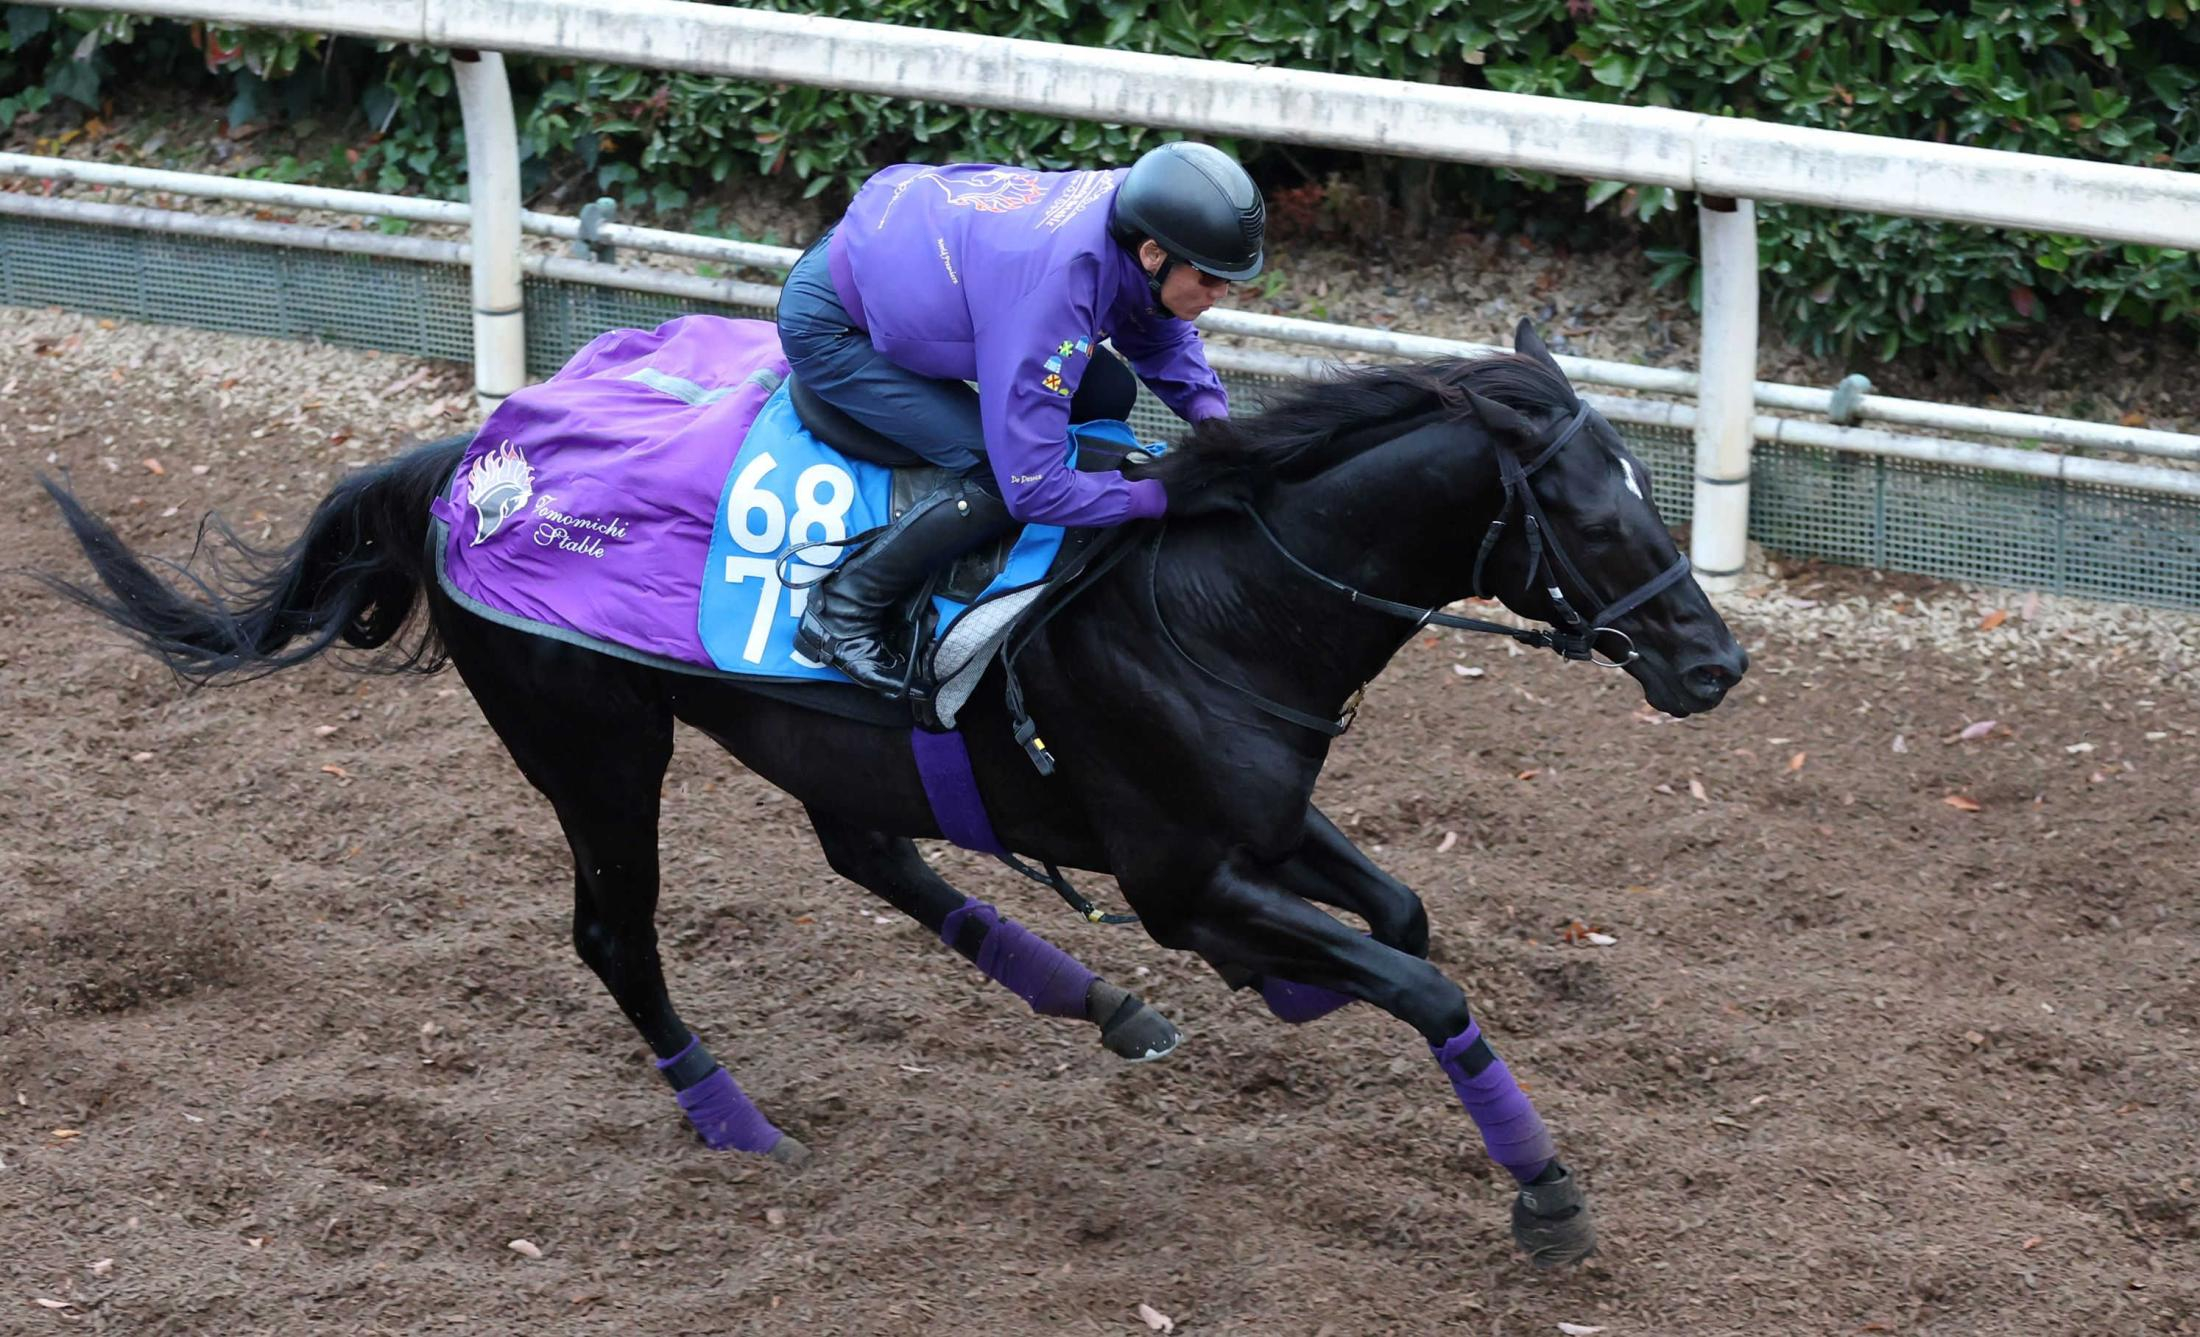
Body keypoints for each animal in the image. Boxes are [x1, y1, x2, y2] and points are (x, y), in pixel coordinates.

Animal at [38, 319, 1746, 1267]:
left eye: (1655, 499)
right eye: (1601, 514)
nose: (1718, 661)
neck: (1216, 597)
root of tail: (475, 456)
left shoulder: (1254, 828)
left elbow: (1400, 908)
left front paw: (1288, 988)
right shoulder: (1182, 877)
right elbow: (1425, 979)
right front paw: (1546, 1196)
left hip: (807, 738)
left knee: (871, 848)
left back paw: (1095, 1001)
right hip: (595, 741)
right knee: (616, 935)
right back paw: (732, 1119)